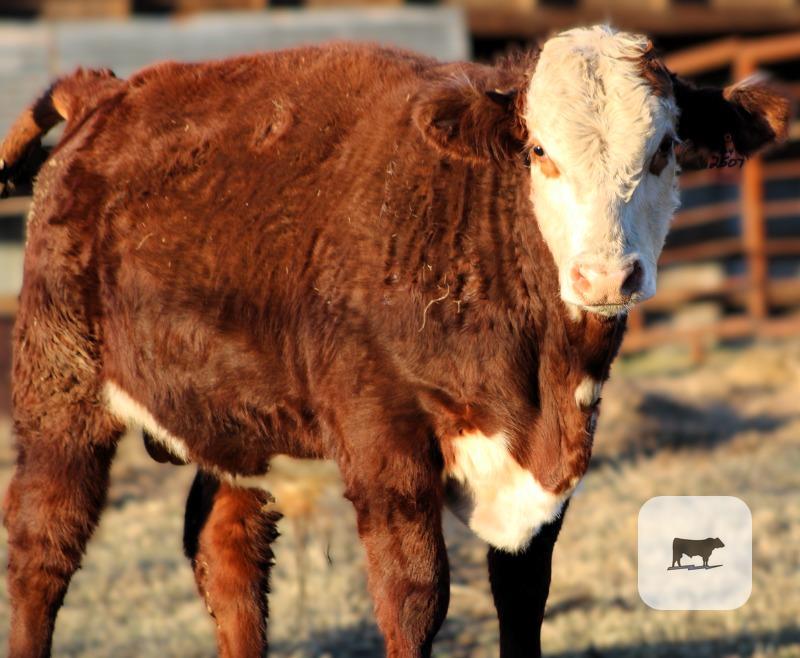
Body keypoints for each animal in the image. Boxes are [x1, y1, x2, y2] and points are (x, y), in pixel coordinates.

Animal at [0, 25, 789, 658]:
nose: (606, 274)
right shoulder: (383, 440)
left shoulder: (544, 481)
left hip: (241, 421)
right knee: (42, 551)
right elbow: (413, 598)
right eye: (539, 149)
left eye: (665, 149)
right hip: (59, 389)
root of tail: (108, 89)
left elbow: (523, 601)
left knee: (225, 552)